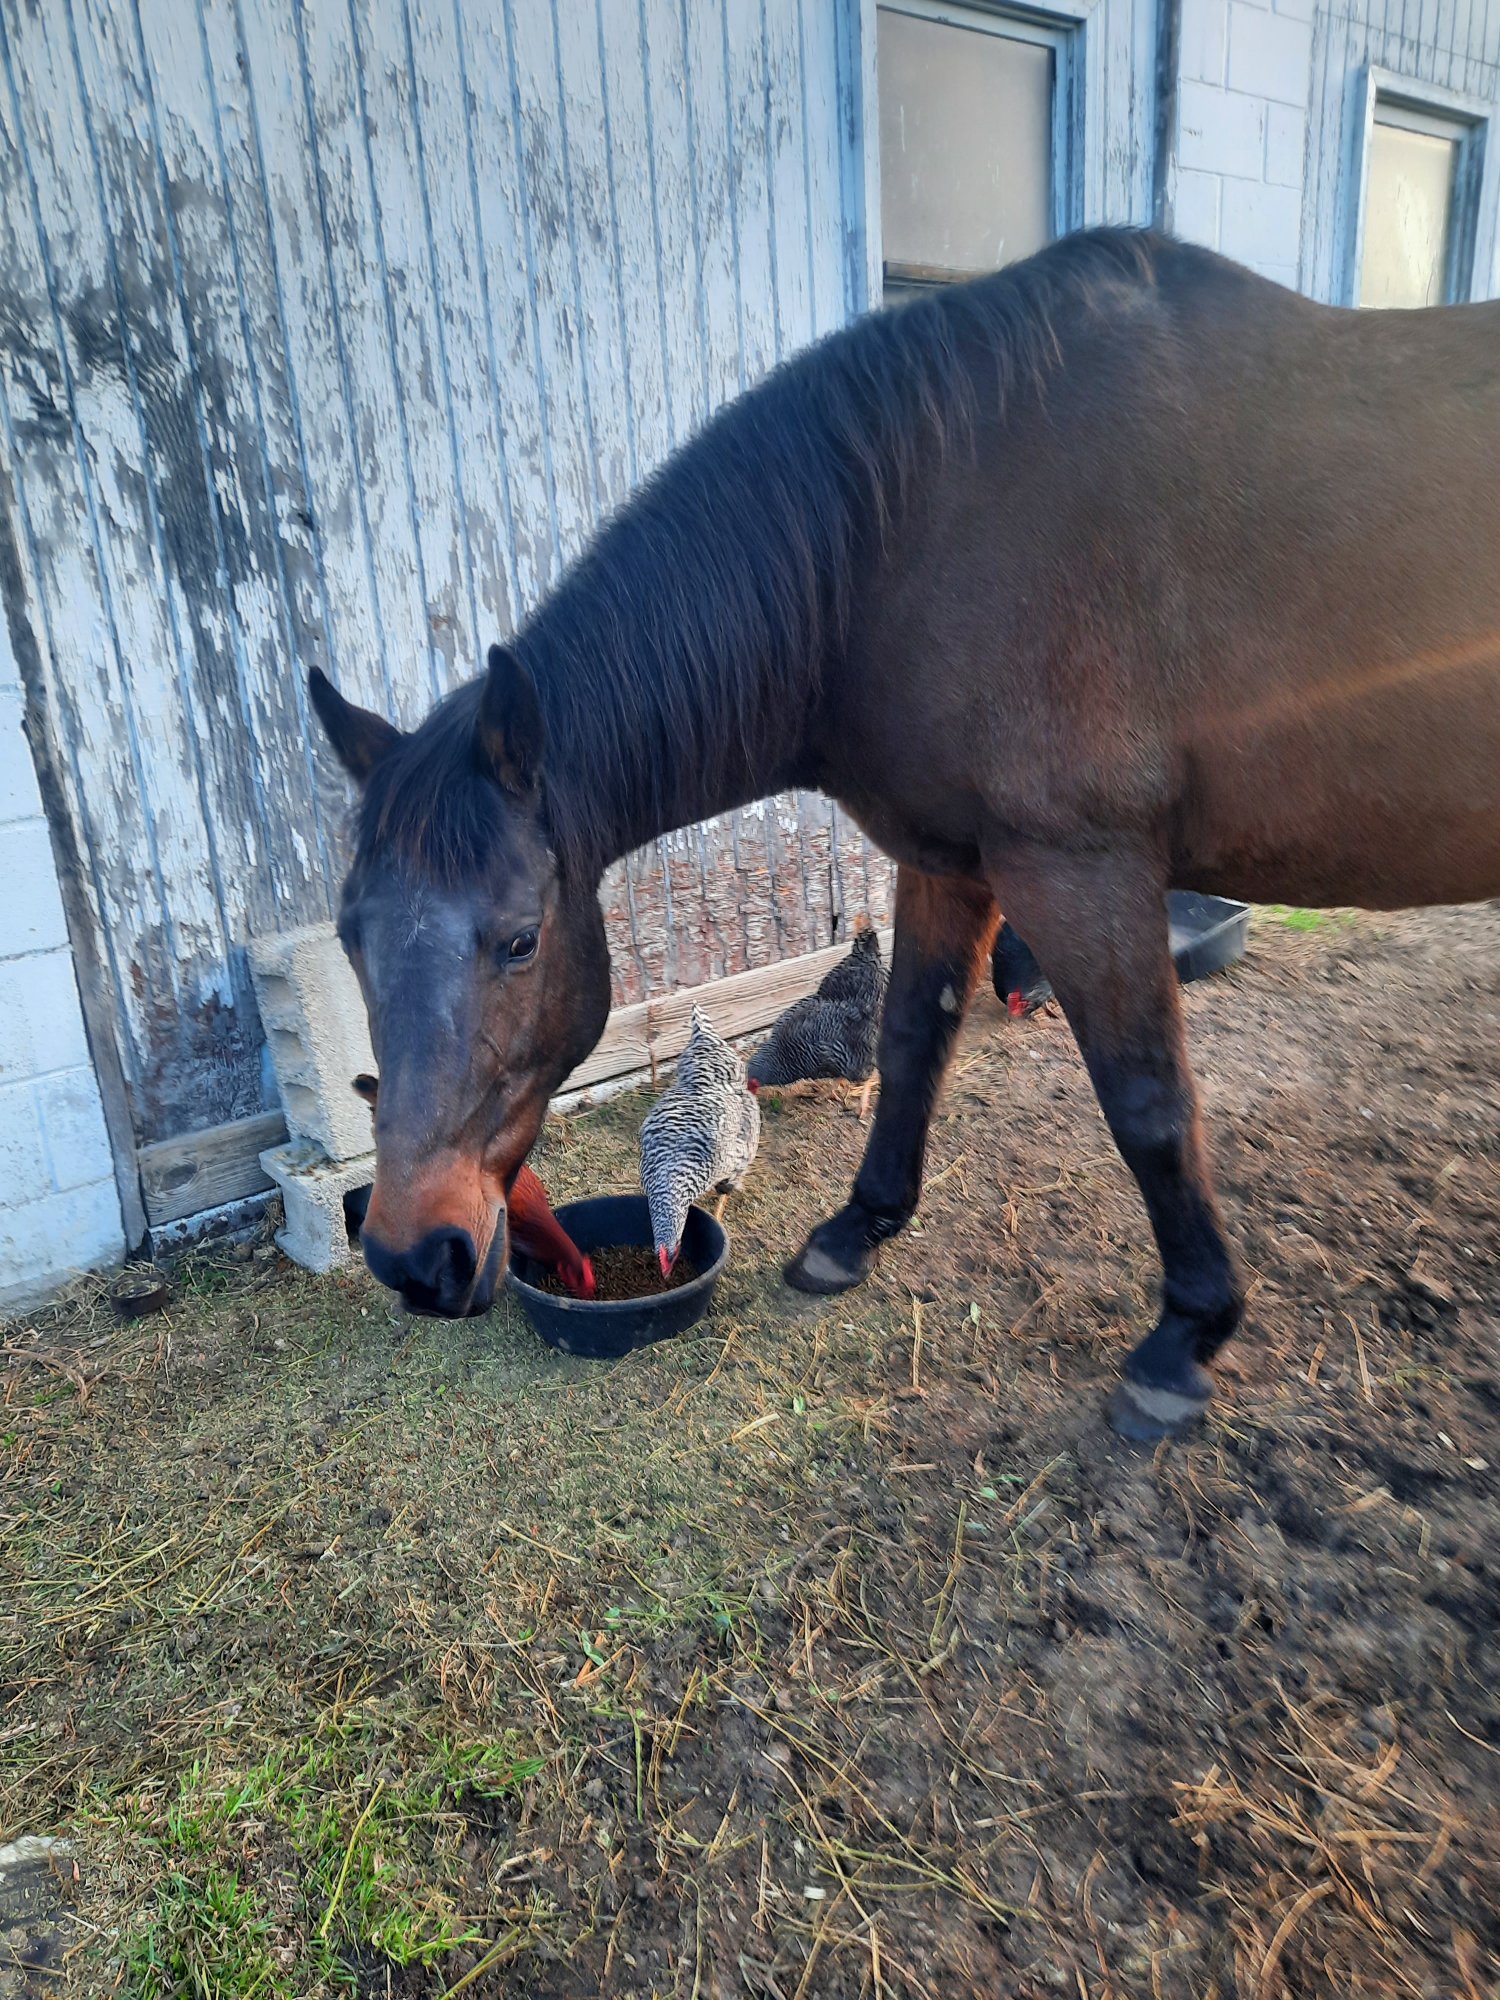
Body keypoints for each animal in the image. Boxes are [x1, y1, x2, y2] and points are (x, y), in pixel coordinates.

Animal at [307, 228, 1500, 1440]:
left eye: (518, 940)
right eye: (351, 939)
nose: (413, 1256)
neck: (916, 538)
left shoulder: (1081, 867)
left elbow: (1151, 1104)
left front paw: (1186, 1333)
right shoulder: (946, 859)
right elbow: (913, 1038)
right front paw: (855, 1231)